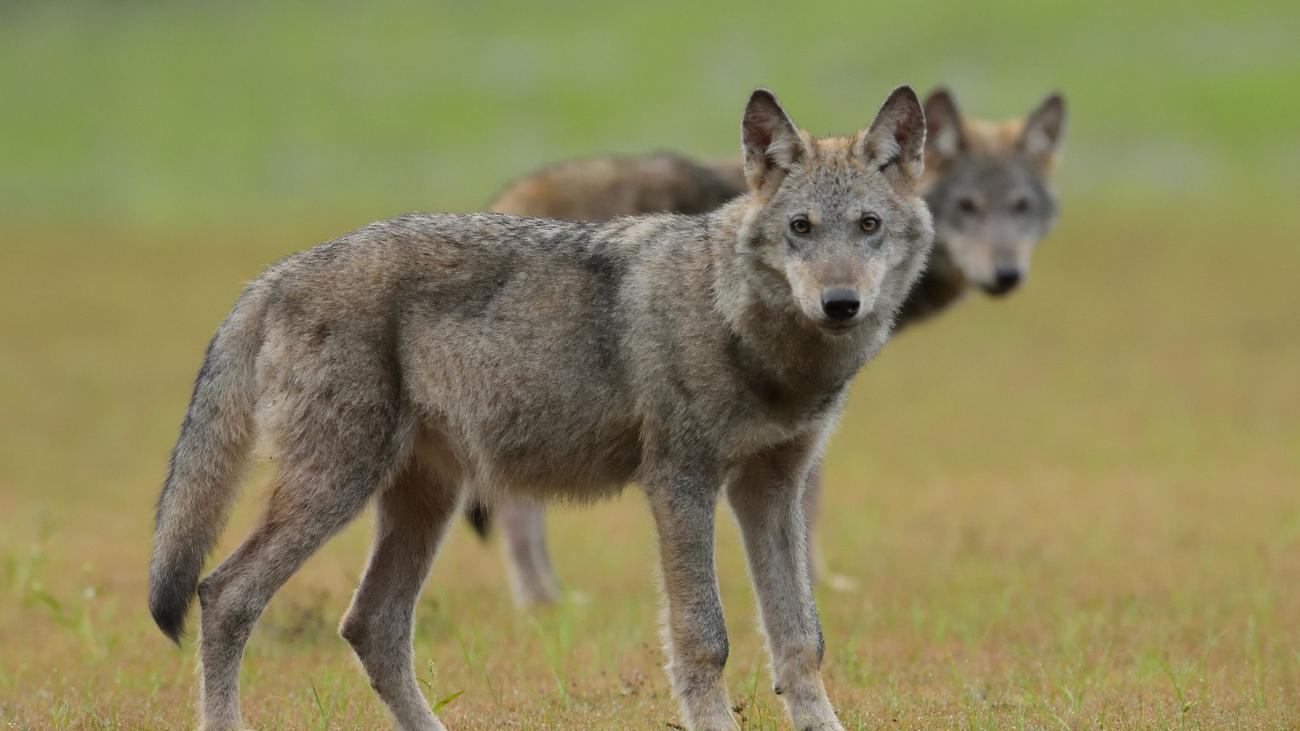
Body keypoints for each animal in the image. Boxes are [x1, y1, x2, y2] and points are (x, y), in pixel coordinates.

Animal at [148, 86, 934, 731]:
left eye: (867, 226)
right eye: (802, 228)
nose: (841, 303)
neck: (743, 328)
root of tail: (273, 275)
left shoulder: (770, 489)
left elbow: (802, 639)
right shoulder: (680, 484)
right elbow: (704, 637)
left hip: (422, 501)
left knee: (371, 626)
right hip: (337, 489)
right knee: (224, 594)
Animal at [471, 88, 1067, 607]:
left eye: (1020, 207)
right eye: (969, 207)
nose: (1006, 276)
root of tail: (507, 195)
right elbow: (811, 500)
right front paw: (820, 581)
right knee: (515, 509)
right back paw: (543, 602)